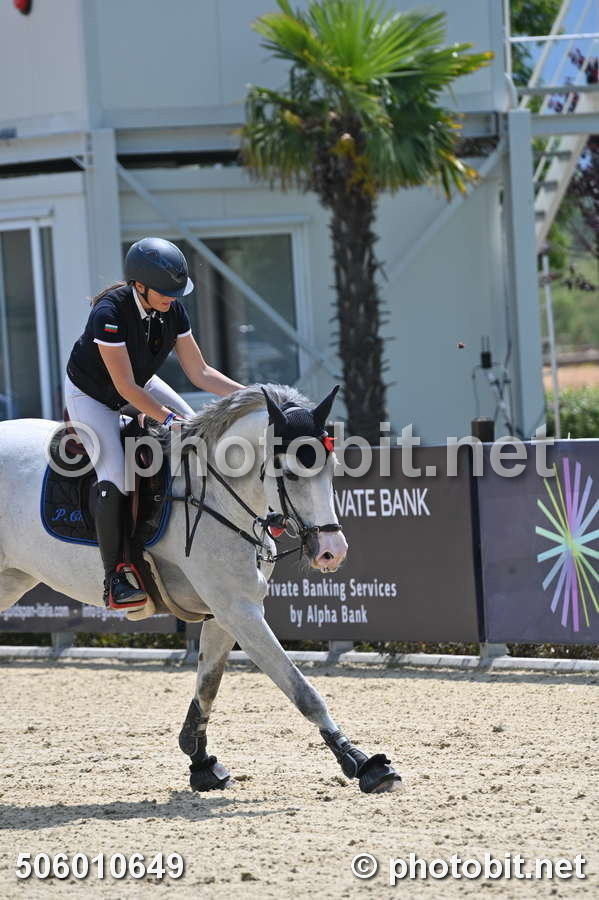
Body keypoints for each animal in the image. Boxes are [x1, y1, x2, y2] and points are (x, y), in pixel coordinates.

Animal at [0, 383, 401, 794]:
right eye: (290, 474)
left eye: (331, 470)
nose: (331, 552)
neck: (221, 496)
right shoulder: (239, 610)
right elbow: (303, 691)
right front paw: (363, 763)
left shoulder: (226, 613)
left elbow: (208, 685)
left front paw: (201, 762)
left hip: (11, 579)